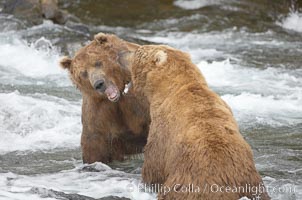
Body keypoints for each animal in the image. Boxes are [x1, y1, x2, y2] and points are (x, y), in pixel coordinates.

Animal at [119, 44, 270, 199]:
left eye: (136, 52)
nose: (120, 54)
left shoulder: (163, 130)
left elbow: (154, 165)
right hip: (252, 182)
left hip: (188, 180)